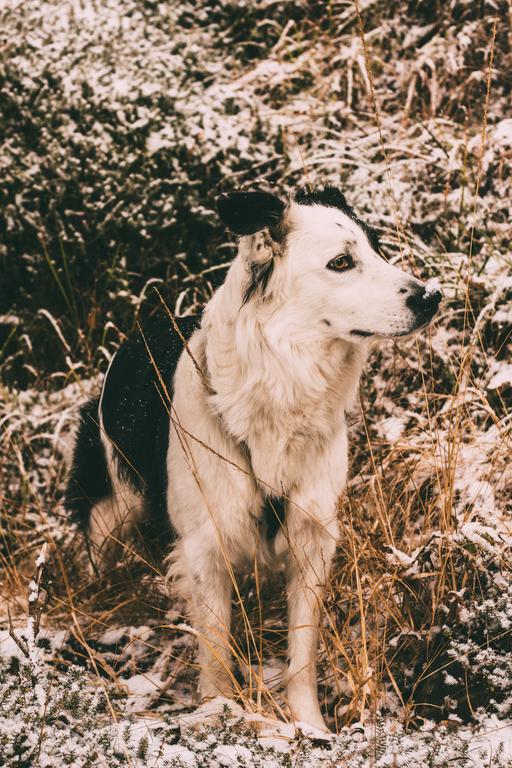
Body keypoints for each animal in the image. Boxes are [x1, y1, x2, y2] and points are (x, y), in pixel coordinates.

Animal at [66, 188, 442, 732]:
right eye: (341, 262)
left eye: (376, 249)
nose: (430, 296)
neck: (279, 389)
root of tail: (144, 328)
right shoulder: (206, 544)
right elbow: (216, 649)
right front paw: (220, 712)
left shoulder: (311, 534)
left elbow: (303, 650)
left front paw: (310, 726)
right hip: (111, 502)